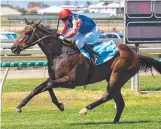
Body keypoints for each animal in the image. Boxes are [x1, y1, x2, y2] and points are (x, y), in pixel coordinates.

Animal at [10, 19, 161, 123]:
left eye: (27, 33)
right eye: (21, 32)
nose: (13, 47)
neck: (60, 53)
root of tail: (135, 54)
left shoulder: (70, 81)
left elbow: (46, 86)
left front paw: (60, 105)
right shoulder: (55, 77)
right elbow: (40, 88)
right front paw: (20, 106)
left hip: (118, 75)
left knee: (108, 95)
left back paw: (85, 109)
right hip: (113, 77)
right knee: (119, 102)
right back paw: (115, 121)